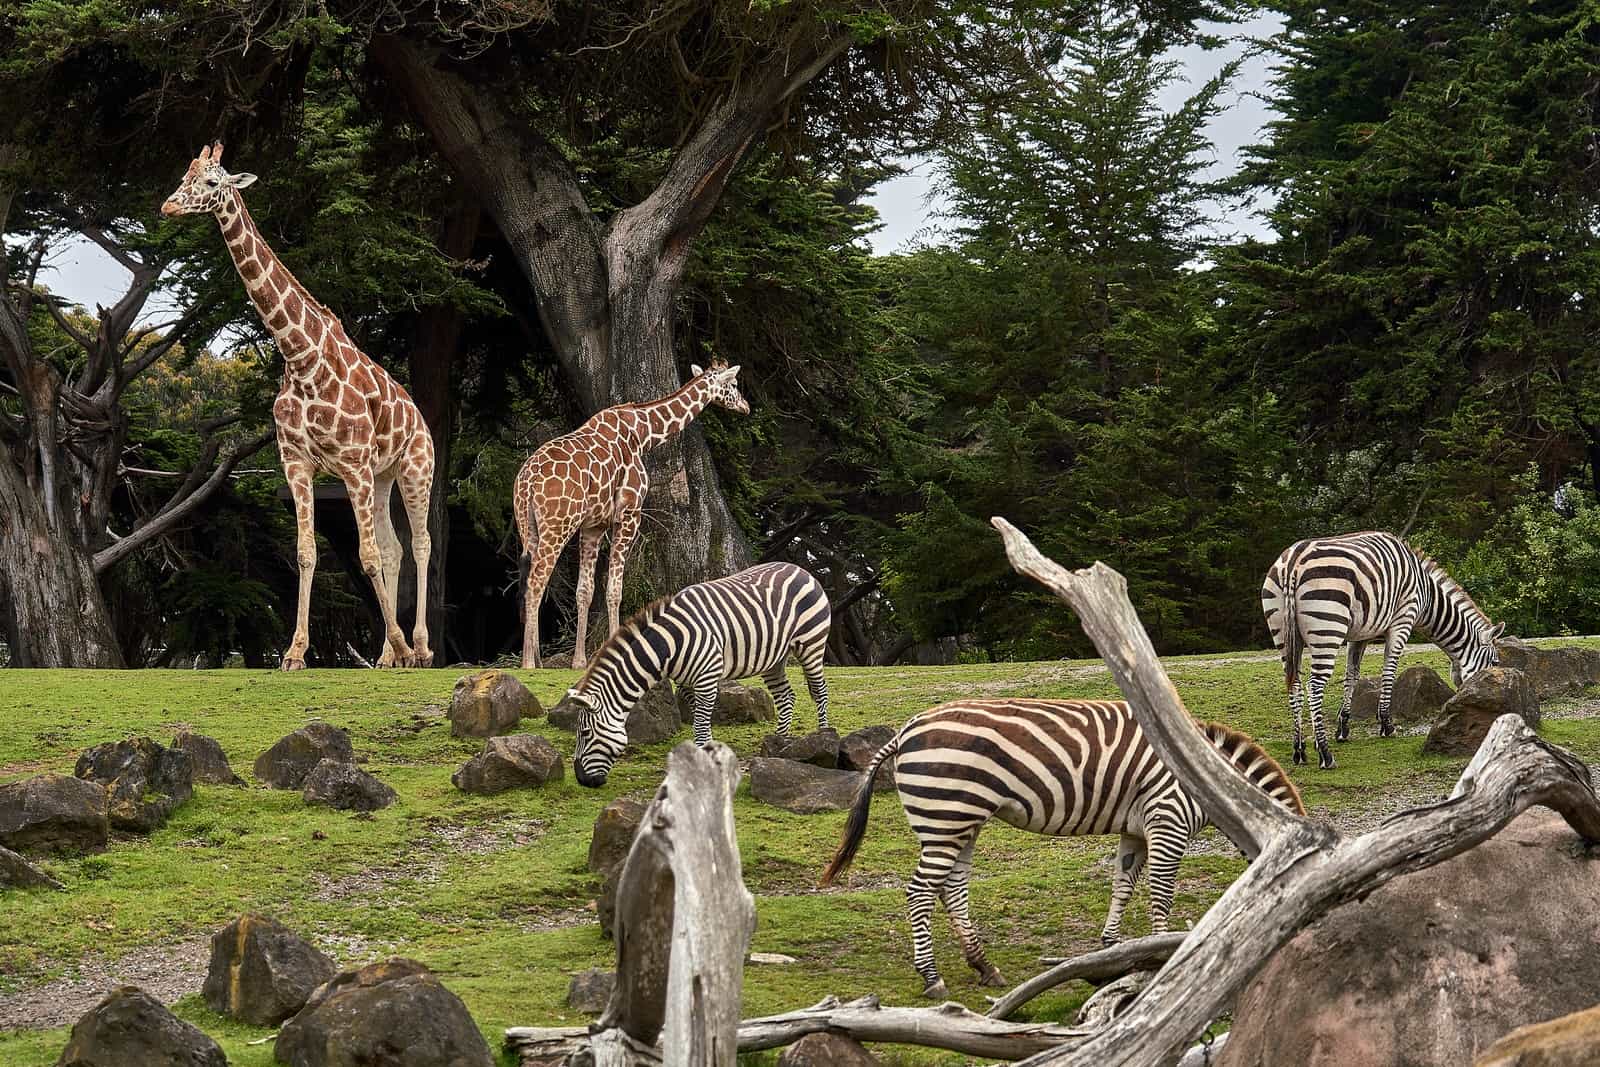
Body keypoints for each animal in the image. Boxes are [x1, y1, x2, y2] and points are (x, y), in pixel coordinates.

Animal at [160, 143, 435, 668]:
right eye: (184, 174)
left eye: (212, 182)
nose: (167, 206)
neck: (300, 357)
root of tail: (420, 418)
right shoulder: (297, 461)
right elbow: (309, 550)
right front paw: (294, 652)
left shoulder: (352, 464)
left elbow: (367, 555)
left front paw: (398, 642)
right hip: (383, 475)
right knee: (394, 547)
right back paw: (390, 656)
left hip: (414, 468)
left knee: (421, 542)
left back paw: (420, 647)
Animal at [518, 363, 755, 671]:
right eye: (734, 384)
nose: (746, 406)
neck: (644, 434)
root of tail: (527, 481)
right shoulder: (629, 515)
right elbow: (614, 589)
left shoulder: (594, 525)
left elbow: (585, 590)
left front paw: (579, 661)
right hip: (558, 525)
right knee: (536, 581)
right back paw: (527, 663)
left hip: (528, 527)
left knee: (529, 583)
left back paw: (536, 658)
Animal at [550, 563, 832, 790]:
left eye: (585, 733)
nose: (582, 780)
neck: (667, 646)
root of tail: (800, 569)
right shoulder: (686, 683)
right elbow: (699, 721)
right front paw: (703, 754)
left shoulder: (707, 677)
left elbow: (700, 724)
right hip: (774, 657)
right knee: (786, 696)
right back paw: (779, 742)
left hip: (811, 643)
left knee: (819, 691)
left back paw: (823, 738)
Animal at [819, 700, 1305, 1004]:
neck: (1211, 782)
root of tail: (905, 730)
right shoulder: (1167, 821)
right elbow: (1161, 893)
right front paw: (1166, 953)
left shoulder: (1137, 830)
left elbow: (1124, 883)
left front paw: (1113, 947)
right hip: (947, 815)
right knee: (920, 892)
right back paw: (932, 977)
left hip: (958, 821)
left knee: (951, 890)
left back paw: (984, 966)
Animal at [1260, 531, 1497, 767]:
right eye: (1494, 664)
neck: (1427, 593)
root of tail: (1293, 562)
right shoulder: (1403, 621)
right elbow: (1388, 672)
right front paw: (1386, 724)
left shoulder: (1360, 634)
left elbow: (1352, 676)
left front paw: (1343, 728)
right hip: (1327, 627)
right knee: (1314, 687)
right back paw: (1325, 754)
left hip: (1284, 634)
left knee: (1295, 686)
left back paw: (1299, 750)